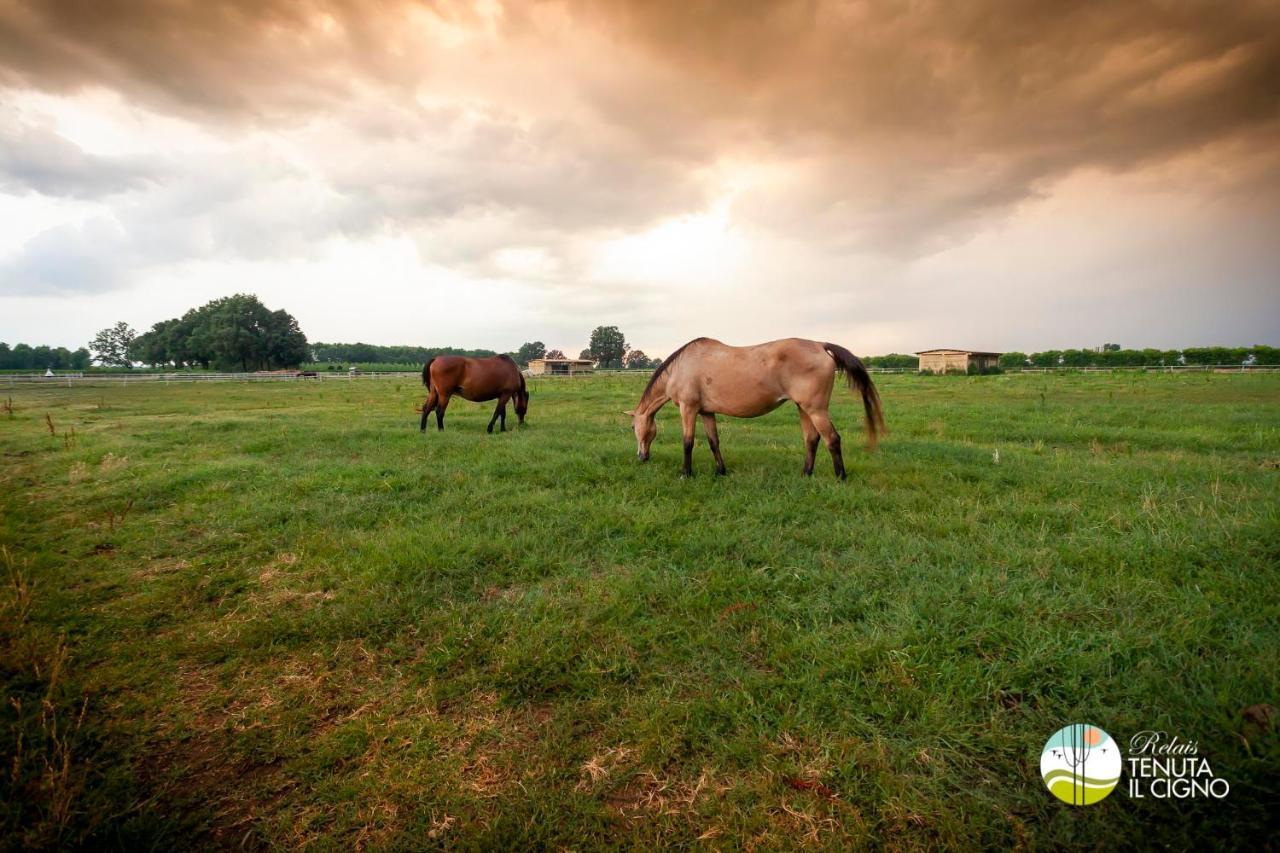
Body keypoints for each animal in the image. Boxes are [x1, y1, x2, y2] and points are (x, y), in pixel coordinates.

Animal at [627, 338, 885, 479]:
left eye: (632, 427)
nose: (641, 457)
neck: (682, 367)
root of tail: (820, 346)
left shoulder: (688, 409)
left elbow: (688, 442)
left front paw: (686, 474)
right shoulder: (706, 412)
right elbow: (713, 442)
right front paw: (720, 471)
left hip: (816, 410)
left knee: (832, 439)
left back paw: (840, 477)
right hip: (804, 409)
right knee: (812, 440)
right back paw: (806, 474)